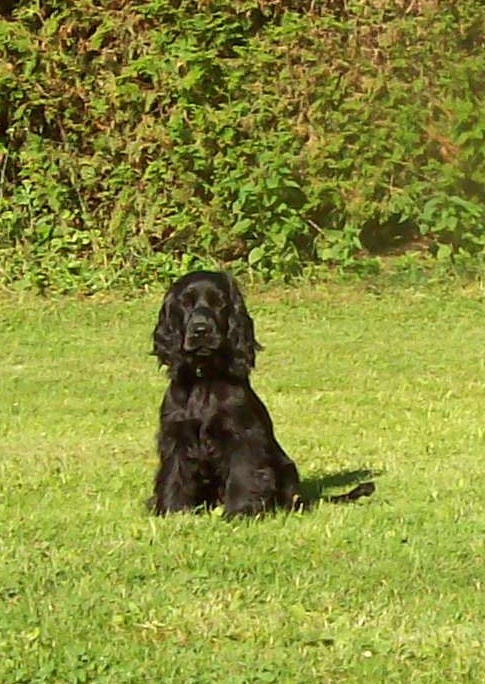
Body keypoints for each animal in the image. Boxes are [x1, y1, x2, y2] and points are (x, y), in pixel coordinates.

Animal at [149, 270, 298, 516]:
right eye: (185, 303)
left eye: (219, 302)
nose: (201, 330)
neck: (203, 377)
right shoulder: (175, 435)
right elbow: (173, 474)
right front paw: (172, 511)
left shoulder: (242, 435)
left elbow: (242, 474)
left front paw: (239, 512)